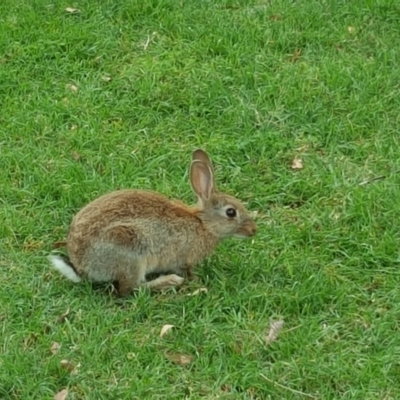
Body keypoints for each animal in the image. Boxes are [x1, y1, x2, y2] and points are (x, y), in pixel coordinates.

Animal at [49, 148, 256, 296]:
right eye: (231, 212)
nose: (253, 230)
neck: (203, 223)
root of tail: (82, 267)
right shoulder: (182, 257)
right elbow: (186, 270)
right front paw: (197, 281)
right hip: (131, 252)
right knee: (130, 289)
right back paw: (169, 281)